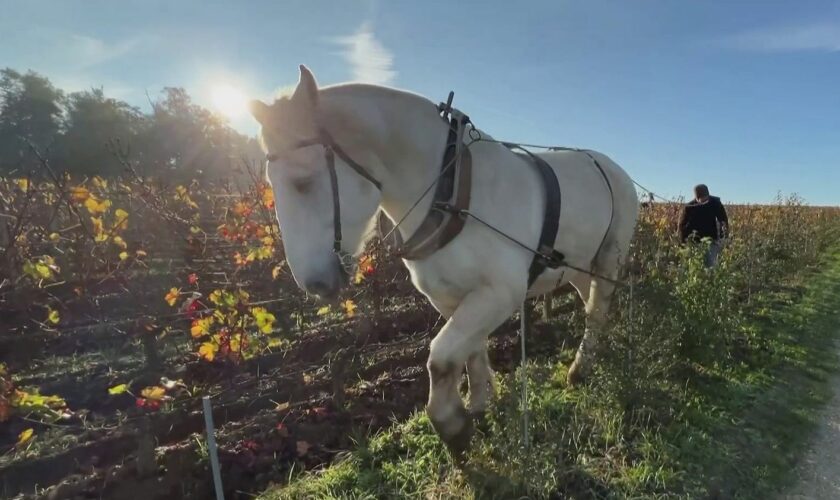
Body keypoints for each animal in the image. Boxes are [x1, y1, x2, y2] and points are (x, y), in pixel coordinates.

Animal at [248, 65, 636, 454]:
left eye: (303, 182)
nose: (314, 283)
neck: (450, 189)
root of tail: (612, 166)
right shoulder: (449, 298)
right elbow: (471, 353)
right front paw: (479, 404)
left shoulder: (501, 292)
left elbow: (441, 358)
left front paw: (452, 424)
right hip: (578, 266)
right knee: (591, 305)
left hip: (610, 256)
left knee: (597, 309)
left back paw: (581, 368)